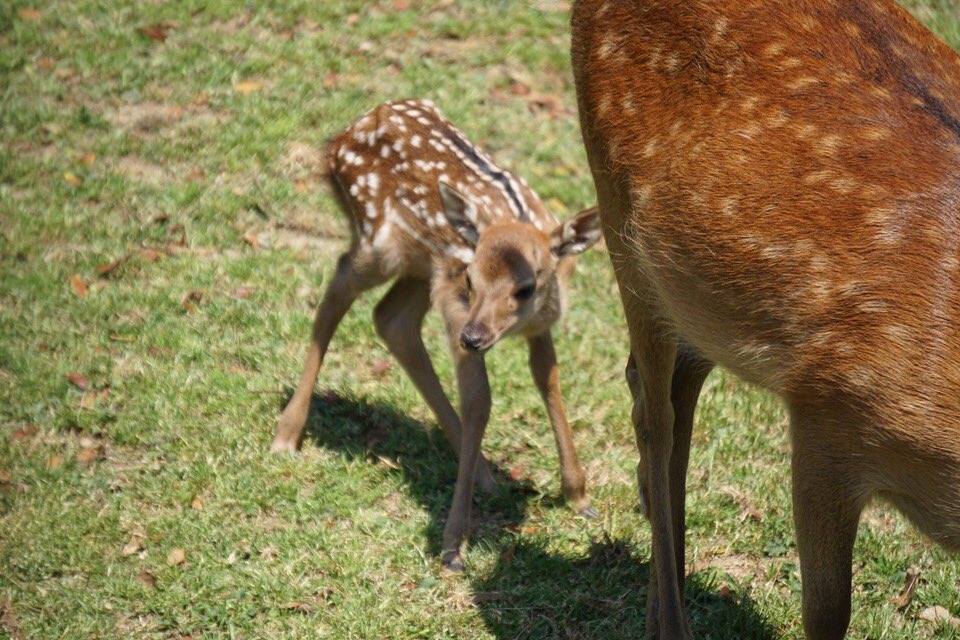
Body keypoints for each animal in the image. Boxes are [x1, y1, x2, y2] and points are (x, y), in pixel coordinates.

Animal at [270, 99, 600, 568]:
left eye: (525, 287)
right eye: (471, 279)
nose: (474, 338)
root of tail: (338, 141)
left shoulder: (538, 324)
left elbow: (548, 380)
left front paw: (578, 495)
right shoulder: (453, 298)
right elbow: (479, 400)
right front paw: (453, 543)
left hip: (417, 263)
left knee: (390, 318)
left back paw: (482, 471)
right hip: (379, 243)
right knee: (336, 290)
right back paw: (286, 435)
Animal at [572, 0, 960, 636]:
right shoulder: (829, 410)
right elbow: (827, 610)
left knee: (672, 384)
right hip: (621, 223)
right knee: (655, 414)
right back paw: (668, 618)